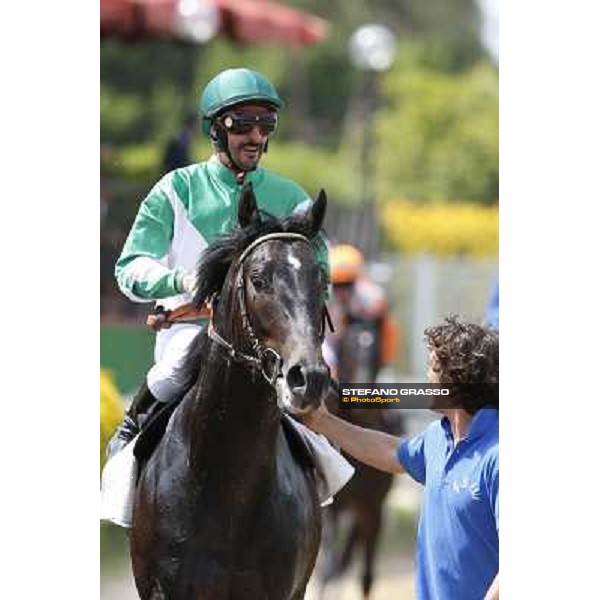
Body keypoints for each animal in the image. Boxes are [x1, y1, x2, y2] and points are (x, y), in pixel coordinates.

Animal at [322, 322, 400, 596]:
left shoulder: (373, 508)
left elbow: (366, 577)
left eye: (377, 352)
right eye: (350, 348)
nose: (364, 398)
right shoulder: (332, 510)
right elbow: (329, 570)